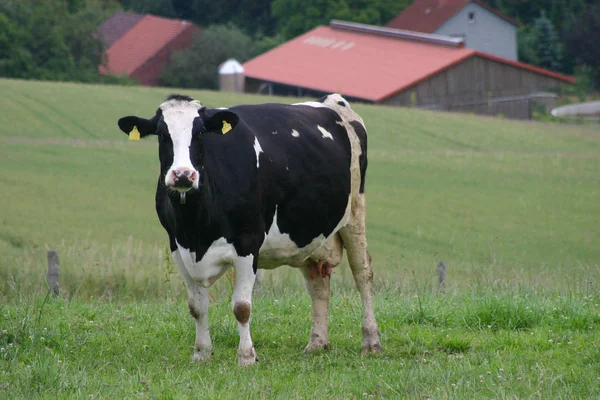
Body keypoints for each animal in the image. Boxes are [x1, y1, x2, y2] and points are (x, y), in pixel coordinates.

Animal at [116, 94, 380, 366]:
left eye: (200, 133)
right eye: (161, 134)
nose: (183, 175)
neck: (196, 228)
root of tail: (329, 99)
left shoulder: (248, 243)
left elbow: (242, 307)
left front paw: (246, 357)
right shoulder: (178, 247)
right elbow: (196, 307)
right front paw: (201, 353)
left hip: (355, 214)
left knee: (363, 274)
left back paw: (371, 341)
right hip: (308, 234)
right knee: (318, 285)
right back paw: (316, 343)